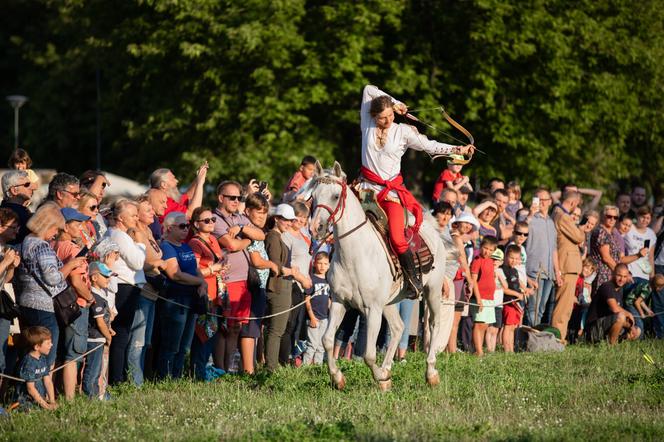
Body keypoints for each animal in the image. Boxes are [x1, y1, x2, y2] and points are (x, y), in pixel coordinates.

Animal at [300, 162, 446, 390]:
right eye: (313, 196)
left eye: (335, 196)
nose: (316, 228)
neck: (355, 254)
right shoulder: (340, 302)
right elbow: (328, 340)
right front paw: (338, 378)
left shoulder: (373, 308)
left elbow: (368, 354)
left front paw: (381, 380)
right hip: (390, 302)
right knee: (398, 328)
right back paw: (387, 368)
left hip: (433, 290)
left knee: (434, 323)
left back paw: (431, 372)